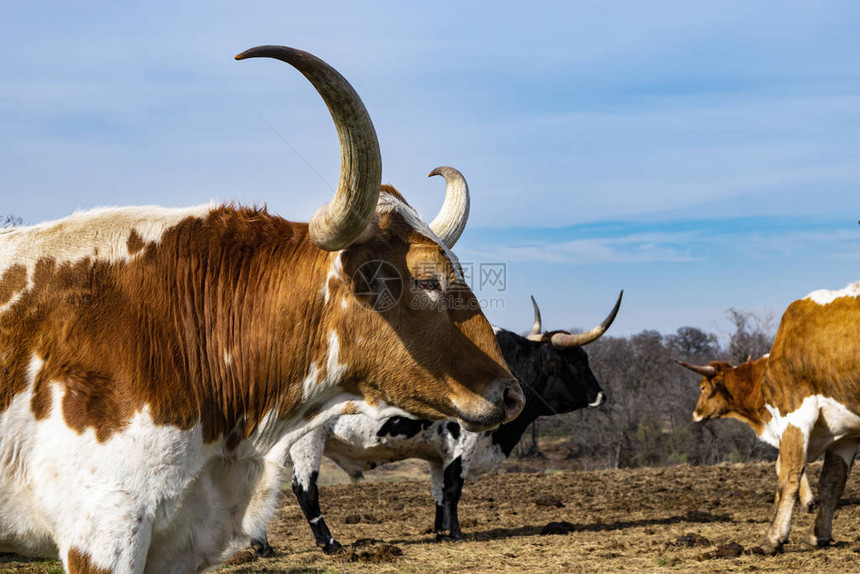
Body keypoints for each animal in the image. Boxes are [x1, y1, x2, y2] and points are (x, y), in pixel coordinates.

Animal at [680, 282, 860, 556]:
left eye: (702, 388)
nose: (695, 414)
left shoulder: (794, 414)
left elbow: (787, 474)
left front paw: (774, 536)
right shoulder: (845, 431)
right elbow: (832, 481)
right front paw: (817, 534)